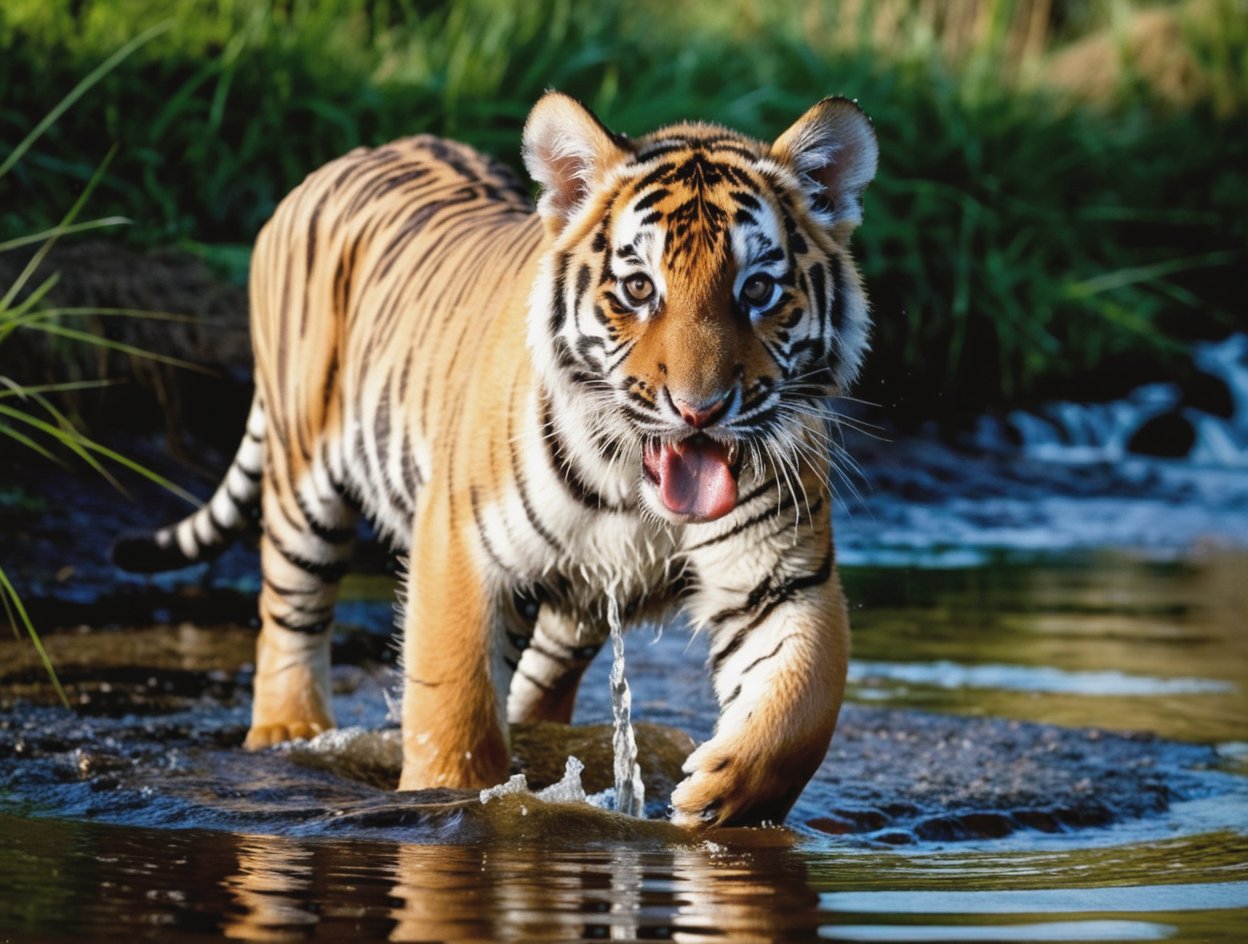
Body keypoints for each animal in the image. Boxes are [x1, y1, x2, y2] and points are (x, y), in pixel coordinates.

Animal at [114, 88, 878, 824]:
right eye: (639, 288)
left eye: (758, 290)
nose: (700, 410)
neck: (634, 490)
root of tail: (346, 159)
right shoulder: (459, 545)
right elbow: (454, 708)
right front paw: (453, 797)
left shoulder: (781, 575)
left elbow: (803, 704)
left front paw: (718, 792)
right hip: (304, 482)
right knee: (288, 618)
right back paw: (286, 733)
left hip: (573, 605)